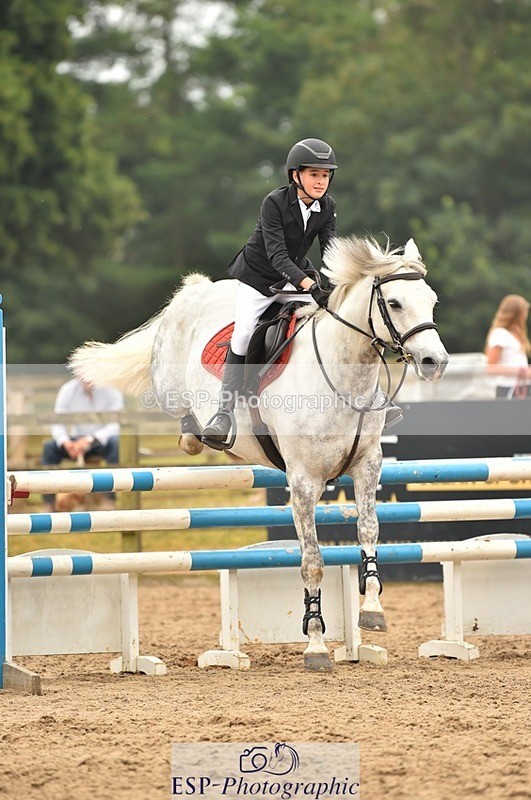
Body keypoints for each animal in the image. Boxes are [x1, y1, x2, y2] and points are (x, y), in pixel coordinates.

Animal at [70, 235, 449, 672]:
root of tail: (194, 290)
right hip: (168, 387)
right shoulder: (303, 482)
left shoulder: (368, 466)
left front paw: (371, 610)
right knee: (182, 415)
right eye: (395, 303)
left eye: (432, 300)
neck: (344, 379)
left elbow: (369, 531)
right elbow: (312, 560)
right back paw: (203, 433)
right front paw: (316, 643)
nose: (436, 363)